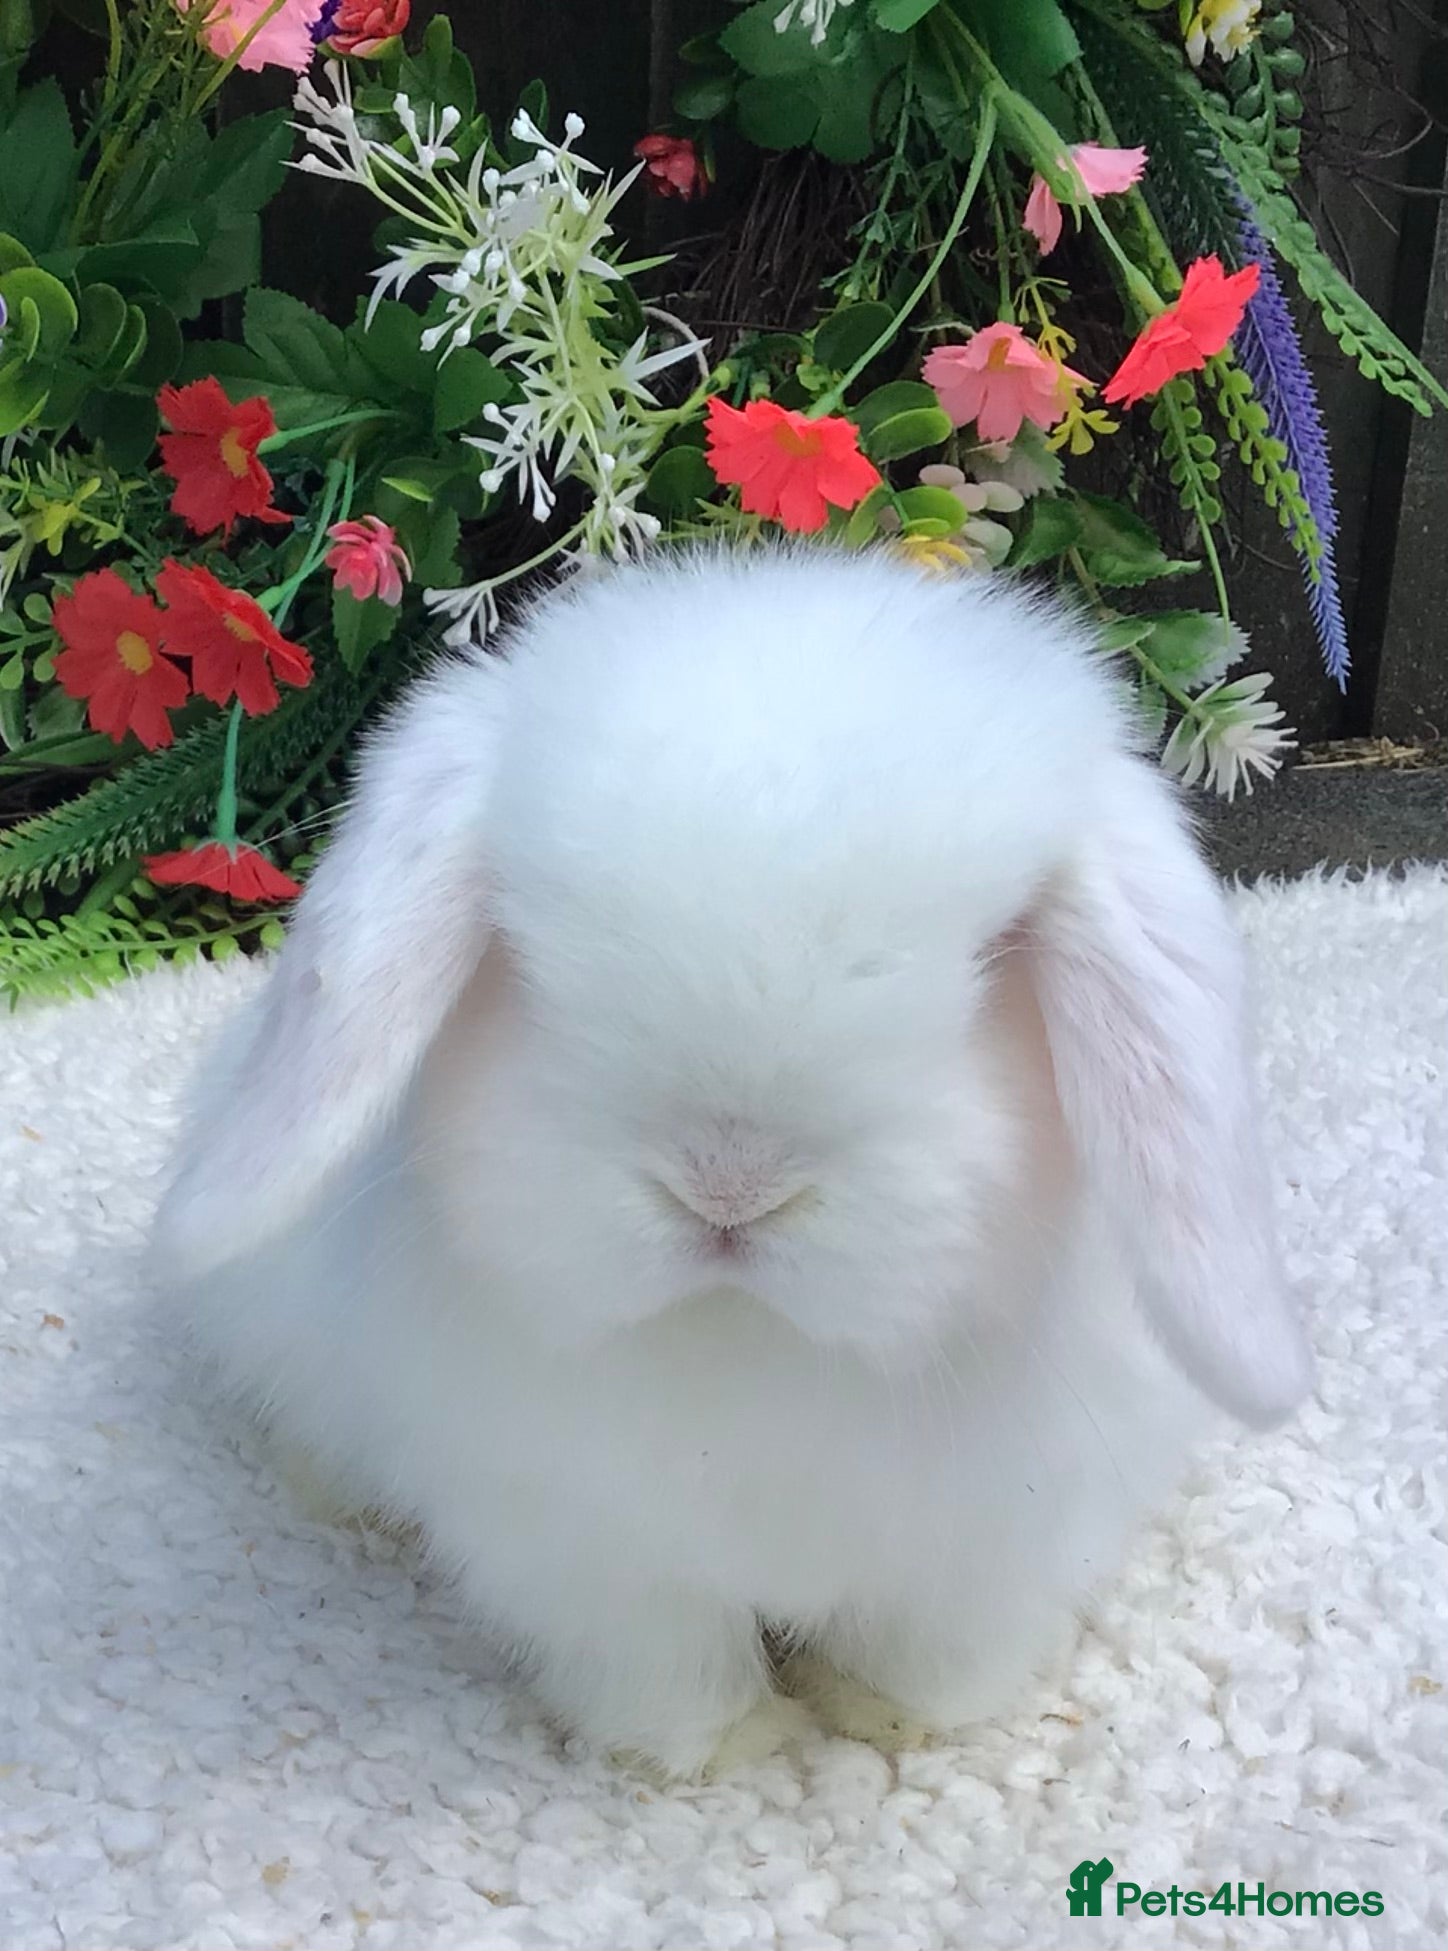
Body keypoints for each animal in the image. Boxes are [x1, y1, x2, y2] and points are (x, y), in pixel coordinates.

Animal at [150, 547, 1314, 1777]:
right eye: (526, 950)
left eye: (996, 957)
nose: (727, 1186)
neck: (753, 1341)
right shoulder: (588, 1554)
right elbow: (667, 1669)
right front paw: (734, 1749)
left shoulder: (992, 1549)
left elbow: (928, 1652)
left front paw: (887, 1723)